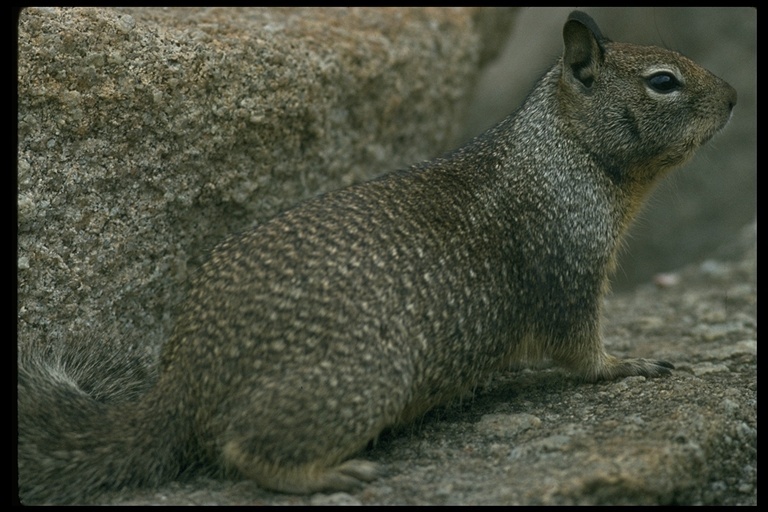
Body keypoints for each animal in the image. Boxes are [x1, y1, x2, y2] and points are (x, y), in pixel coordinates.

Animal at [19, 11, 736, 504]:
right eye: (663, 82)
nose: (733, 97)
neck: (564, 148)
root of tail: (183, 387)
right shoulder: (570, 269)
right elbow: (582, 351)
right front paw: (630, 364)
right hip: (363, 382)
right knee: (244, 451)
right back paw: (335, 472)